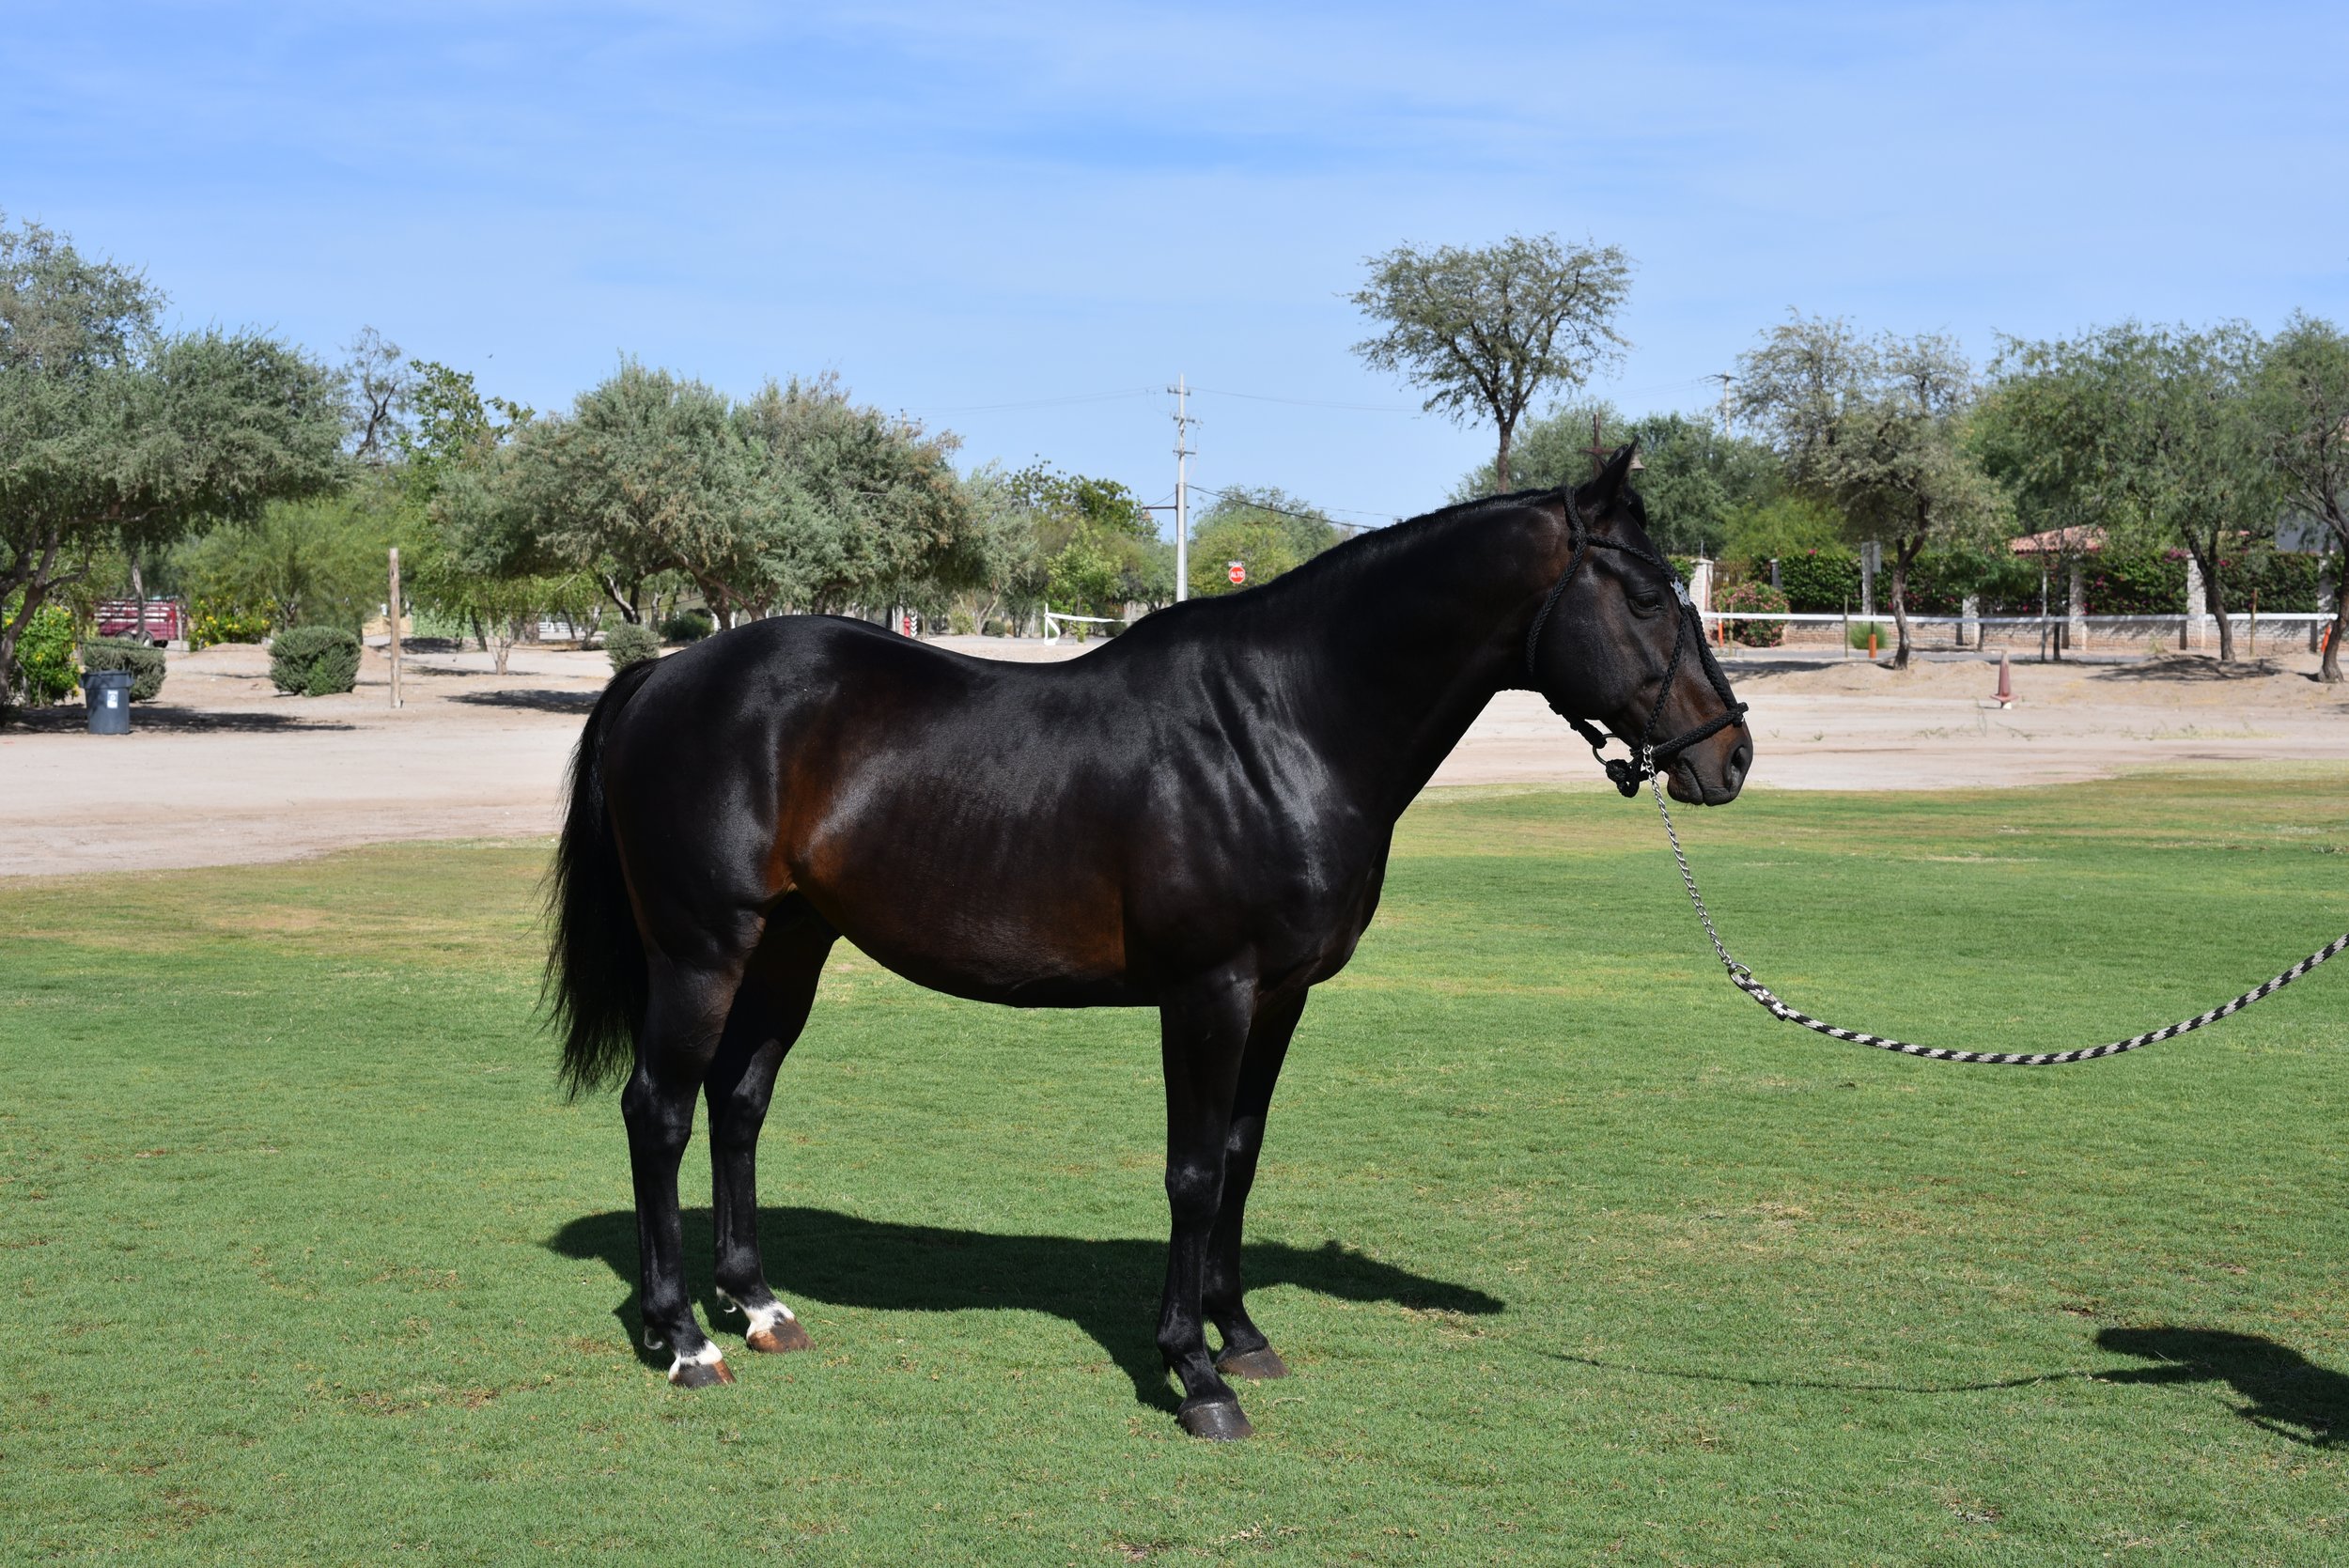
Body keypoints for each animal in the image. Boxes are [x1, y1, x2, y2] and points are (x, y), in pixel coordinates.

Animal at [546, 445, 1752, 1439]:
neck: (1280, 726)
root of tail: (665, 673)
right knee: (659, 1111)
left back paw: (756, 1307)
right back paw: (683, 1339)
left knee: (739, 1099)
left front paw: (1241, 1334)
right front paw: (1194, 1374)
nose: (1727, 754)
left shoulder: (1280, 995)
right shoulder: (1207, 992)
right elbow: (1190, 1172)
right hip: (701, 950)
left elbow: (1239, 1157)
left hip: (790, 943)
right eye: (1646, 595)